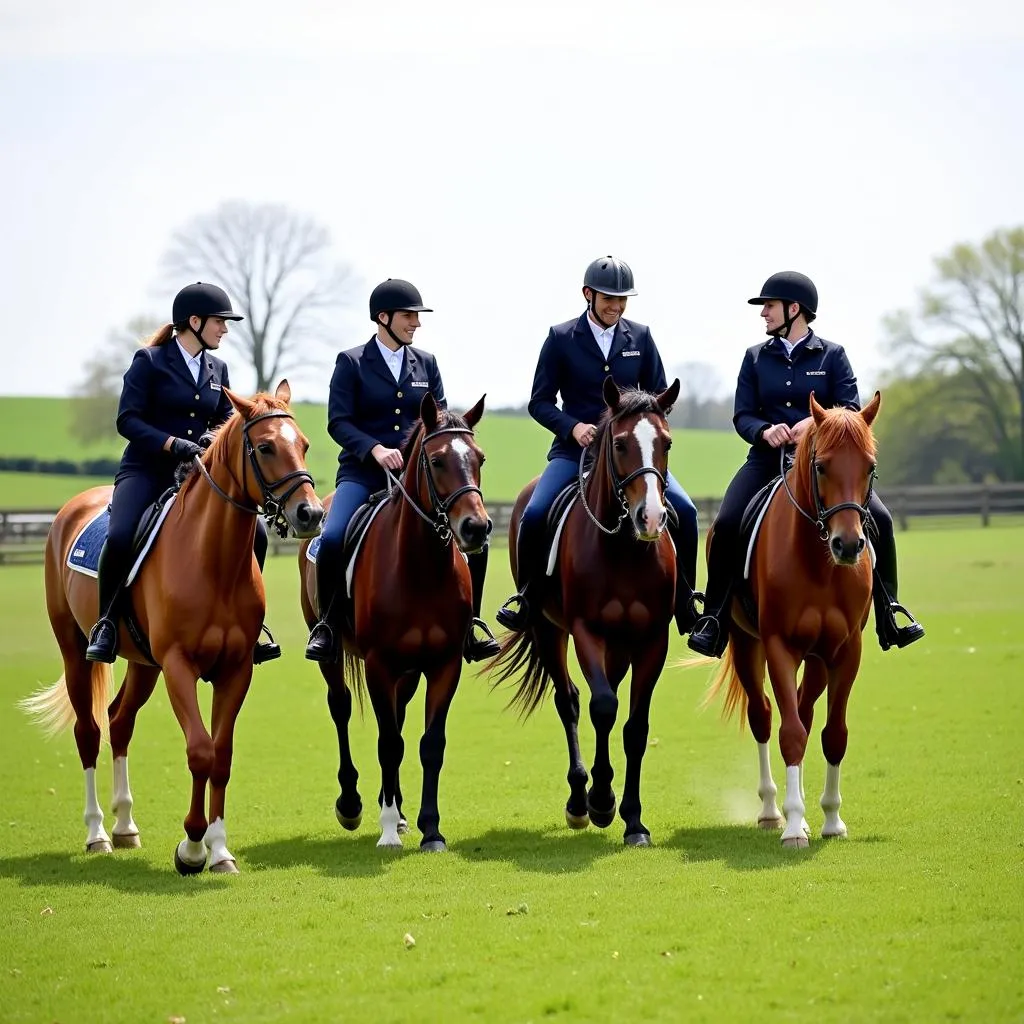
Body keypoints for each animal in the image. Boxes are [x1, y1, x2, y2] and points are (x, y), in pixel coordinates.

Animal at [22, 380, 321, 876]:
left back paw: (126, 827)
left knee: (119, 722)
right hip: (75, 650)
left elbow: (221, 755)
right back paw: (98, 834)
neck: (211, 561)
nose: (310, 515)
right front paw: (192, 848)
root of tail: (71, 508)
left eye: (303, 444)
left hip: (144, 664)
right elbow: (200, 750)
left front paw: (219, 851)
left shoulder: (236, 669)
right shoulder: (179, 666)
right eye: (265, 447)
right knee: (89, 731)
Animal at [299, 389, 489, 847]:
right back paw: (352, 805)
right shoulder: (379, 665)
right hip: (334, 654)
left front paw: (430, 829)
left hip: (409, 671)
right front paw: (387, 831)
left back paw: (399, 810)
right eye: (436, 461)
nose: (476, 528)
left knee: (400, 721)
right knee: (341, 708)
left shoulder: (443, 665)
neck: (420, 568)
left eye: (479, 458)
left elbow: (428, 744)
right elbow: (388, 743)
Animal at [493, 380, 684, 843]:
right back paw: (581, 801)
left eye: (667, 443)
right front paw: (598, 801)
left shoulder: (653, 639)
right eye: (619, 444)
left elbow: (634, 727)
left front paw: (632, 819)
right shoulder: (585, 631)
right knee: (570, 702)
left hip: (619, 643)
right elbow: (602, 707)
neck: (624, 549)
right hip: (548, 630)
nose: (651, 518)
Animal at [704, 391, 880, 847]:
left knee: (803, 709)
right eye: (822, 466)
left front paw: (832, 820)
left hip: (816, 659)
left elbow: (833, 734)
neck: (818, 564)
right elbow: (791, 734)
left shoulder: (845, 650)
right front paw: (794, 825)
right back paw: (772, 810)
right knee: (765, 716)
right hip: (747, 646)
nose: (848, 545)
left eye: (870, 467)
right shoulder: (779, 647)